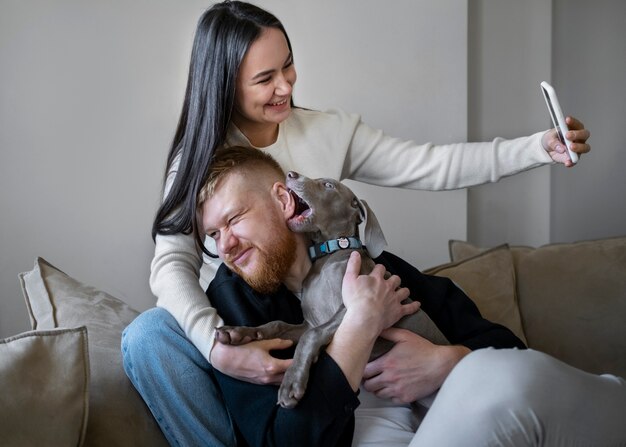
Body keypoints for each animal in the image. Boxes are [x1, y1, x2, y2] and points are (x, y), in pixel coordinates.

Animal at [216, 172, 448, 410]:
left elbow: (311, 336)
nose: (290, 174)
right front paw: (239, 332)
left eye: (328, 185)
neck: (329, 254)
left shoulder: (355, 307)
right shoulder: (310, 321)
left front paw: (292, 382)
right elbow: (277, 324)